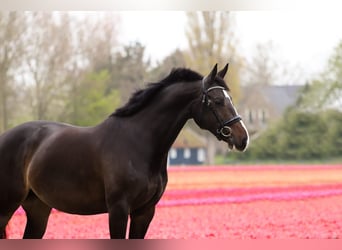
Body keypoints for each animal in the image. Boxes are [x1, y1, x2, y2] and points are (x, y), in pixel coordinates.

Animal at [1, 64, 250, 238]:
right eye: (217, 100)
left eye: (230, 98)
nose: (243, 138)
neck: (138, 143)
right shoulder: (118, 210)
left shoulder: (144, 211)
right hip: (6, 207)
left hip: (38, 208)